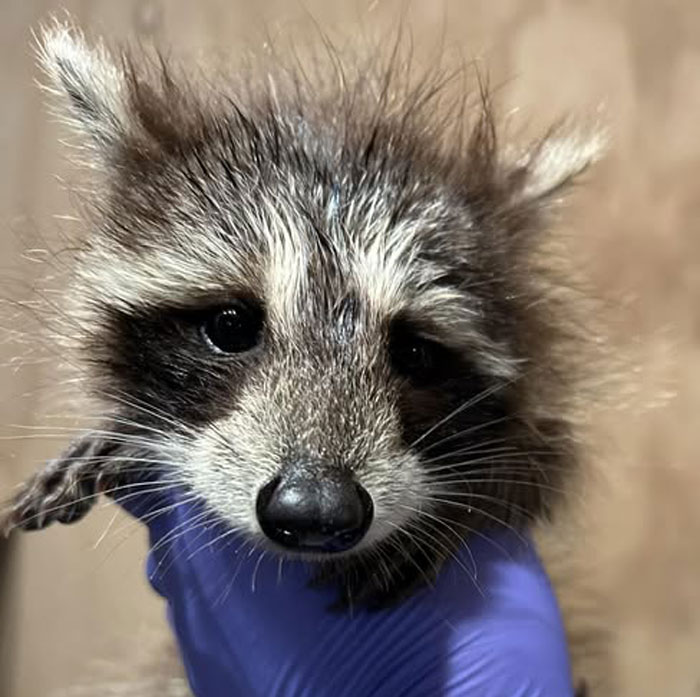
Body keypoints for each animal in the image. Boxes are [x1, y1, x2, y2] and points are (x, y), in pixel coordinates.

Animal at [3, 18, 601, 635]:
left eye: (415, 354)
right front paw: (115, 431)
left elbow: (533, 470)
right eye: (231, 326)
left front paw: (456, 509)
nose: (316, 508)